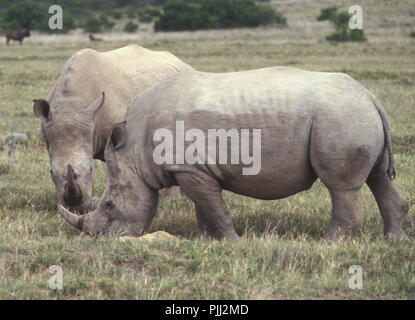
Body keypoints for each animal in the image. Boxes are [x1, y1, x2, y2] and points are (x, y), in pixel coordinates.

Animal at [33, 43, 193, 212]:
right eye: (51, 172)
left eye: (91, 170)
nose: (76, 208)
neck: (71, 104)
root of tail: (181, 62)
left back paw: (172, 201)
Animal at [58, 67, 410, 241]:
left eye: (109, 205)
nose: (103, 240)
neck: (134, 148)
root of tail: (369, 95)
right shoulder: (192, 169)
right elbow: (203, 207)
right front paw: (203, 241)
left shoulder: (189, 168)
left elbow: (215, 208)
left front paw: (233, 241)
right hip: (355, 115)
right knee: (379, 177)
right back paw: (393, 240)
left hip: (339, 117)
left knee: (341, 186)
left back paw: (329, 244)